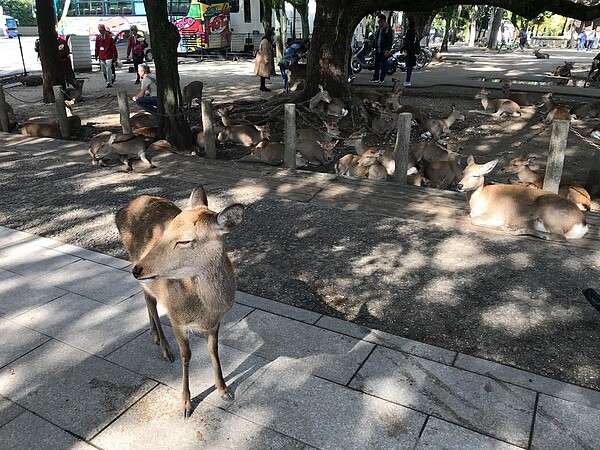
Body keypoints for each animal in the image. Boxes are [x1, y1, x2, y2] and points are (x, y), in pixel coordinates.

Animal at [116, 183, 243, 418]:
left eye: (185, 241)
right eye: (166, 232)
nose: (137, 269)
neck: (207, 309)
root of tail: (121, 210)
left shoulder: (215, 322)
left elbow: (214, 350)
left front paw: (224, 391)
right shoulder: (176, 319)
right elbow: (187, 356)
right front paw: (185, 404)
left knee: (147, 298)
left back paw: (154, 335)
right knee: (151, 301)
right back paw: (165, 348)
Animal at [458, 156, 588, 241]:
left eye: (476, 175)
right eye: (463, 172)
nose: (460, 185)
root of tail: (582, 225)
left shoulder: (493, 214)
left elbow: (474, 220)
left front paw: (499, 225)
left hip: (550, 212)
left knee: (559, 236)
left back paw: (513, 229)